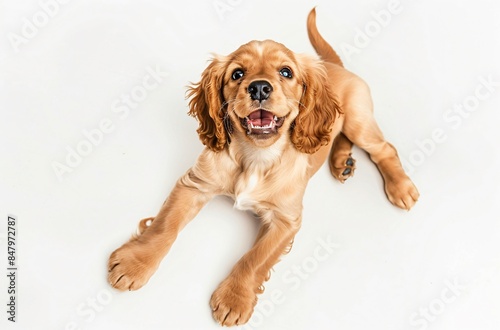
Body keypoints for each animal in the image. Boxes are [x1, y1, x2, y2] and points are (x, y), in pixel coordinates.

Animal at [108, 8, 418, 328]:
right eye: (237, 74)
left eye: (286, 72)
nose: (258, 87)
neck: (256, 158)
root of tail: (333, 65)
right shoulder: (194, 184)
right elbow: (165, 225)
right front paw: (135, 263)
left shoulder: (286, 219)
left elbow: (254, 258)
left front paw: (234, 299)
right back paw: (341, 162)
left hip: (358, 119)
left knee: (383, 148)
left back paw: (400, 187)